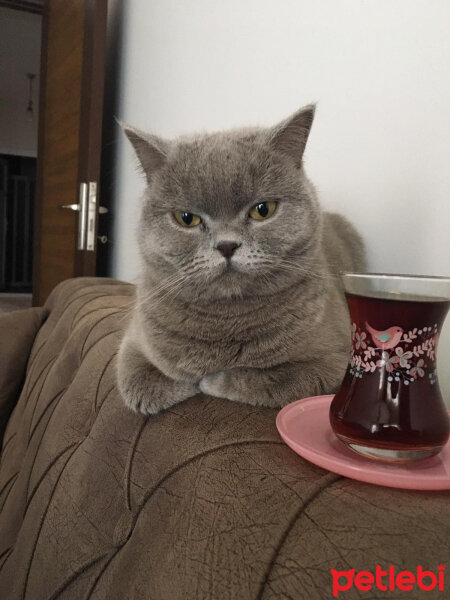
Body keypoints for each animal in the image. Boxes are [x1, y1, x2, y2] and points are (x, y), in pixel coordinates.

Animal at [117, 105, 366, 412]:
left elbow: (273, 379)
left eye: (263, 209)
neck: (226, 320)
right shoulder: (132, 342)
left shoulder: (333, 360)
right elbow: (142, 382)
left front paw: (211, 381)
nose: (227, 245)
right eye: (186, 218)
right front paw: (187, 380)